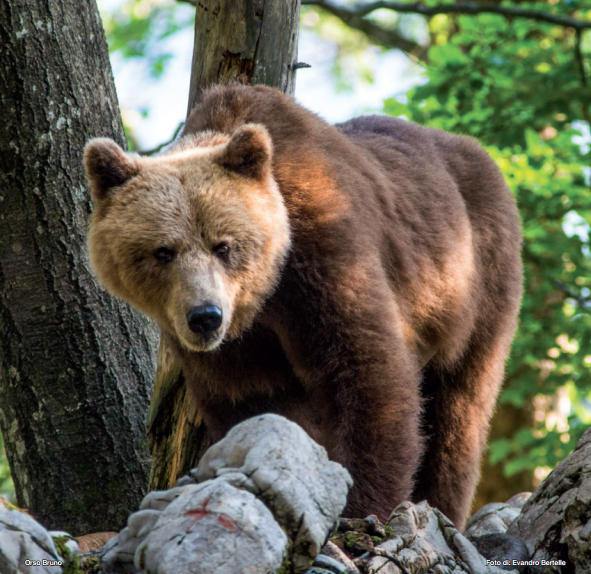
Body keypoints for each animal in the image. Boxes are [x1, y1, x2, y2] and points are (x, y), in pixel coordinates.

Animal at [84, 83, 524, 528]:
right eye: (163, 252)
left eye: (223, 245)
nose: (205, 317)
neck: (263, 294)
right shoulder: (233, 346)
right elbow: (251, 398)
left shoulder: (323, 256)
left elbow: (367, 371)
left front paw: (360, 506)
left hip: (476, 276)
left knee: (460, 407)